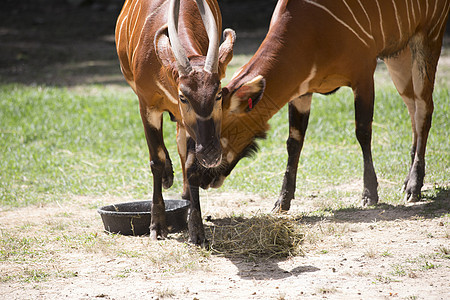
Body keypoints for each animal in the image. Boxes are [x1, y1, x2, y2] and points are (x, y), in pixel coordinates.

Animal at [116, 0, 241, 243]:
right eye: (183, 96)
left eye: (218, 94)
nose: (211, 154)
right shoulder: (147, 106)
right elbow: (155, 160)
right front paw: (157, 226)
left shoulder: (188, 125)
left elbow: (191, 164)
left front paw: (197, 231)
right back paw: (168, 177)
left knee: (180, 146)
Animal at [216, 0, 448, 213]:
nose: (208, 178)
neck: (311, 32)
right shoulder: (302, 92)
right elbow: (294, 141)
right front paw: (282, 201)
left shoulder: (364, 76)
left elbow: (363, 132)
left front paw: (369, 195)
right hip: (398, 55)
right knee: (413, 107)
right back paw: (407, 182)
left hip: (428, 37)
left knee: (424, 108)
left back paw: (414, 187)